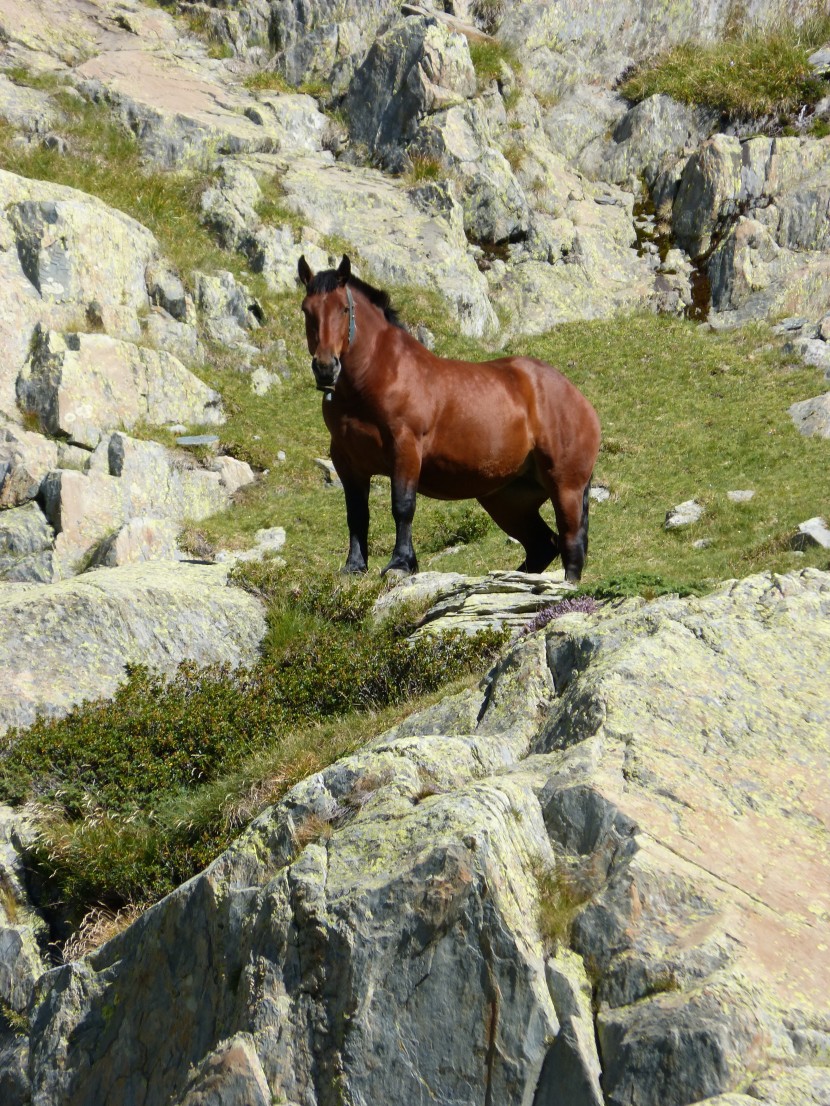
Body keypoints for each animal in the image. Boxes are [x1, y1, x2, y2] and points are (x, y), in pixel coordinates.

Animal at [298, 254, 606, 583]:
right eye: (307, 310)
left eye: (344, 309)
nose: (326, 368)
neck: (378, 377)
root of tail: (578, 399)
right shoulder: (347, 461)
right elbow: (356, 513)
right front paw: (355, 566)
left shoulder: (405, 450)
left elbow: (403, 506)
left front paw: (401, 563)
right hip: (508, 499)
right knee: (543, 545)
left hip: (565, 487)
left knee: (571, 545)